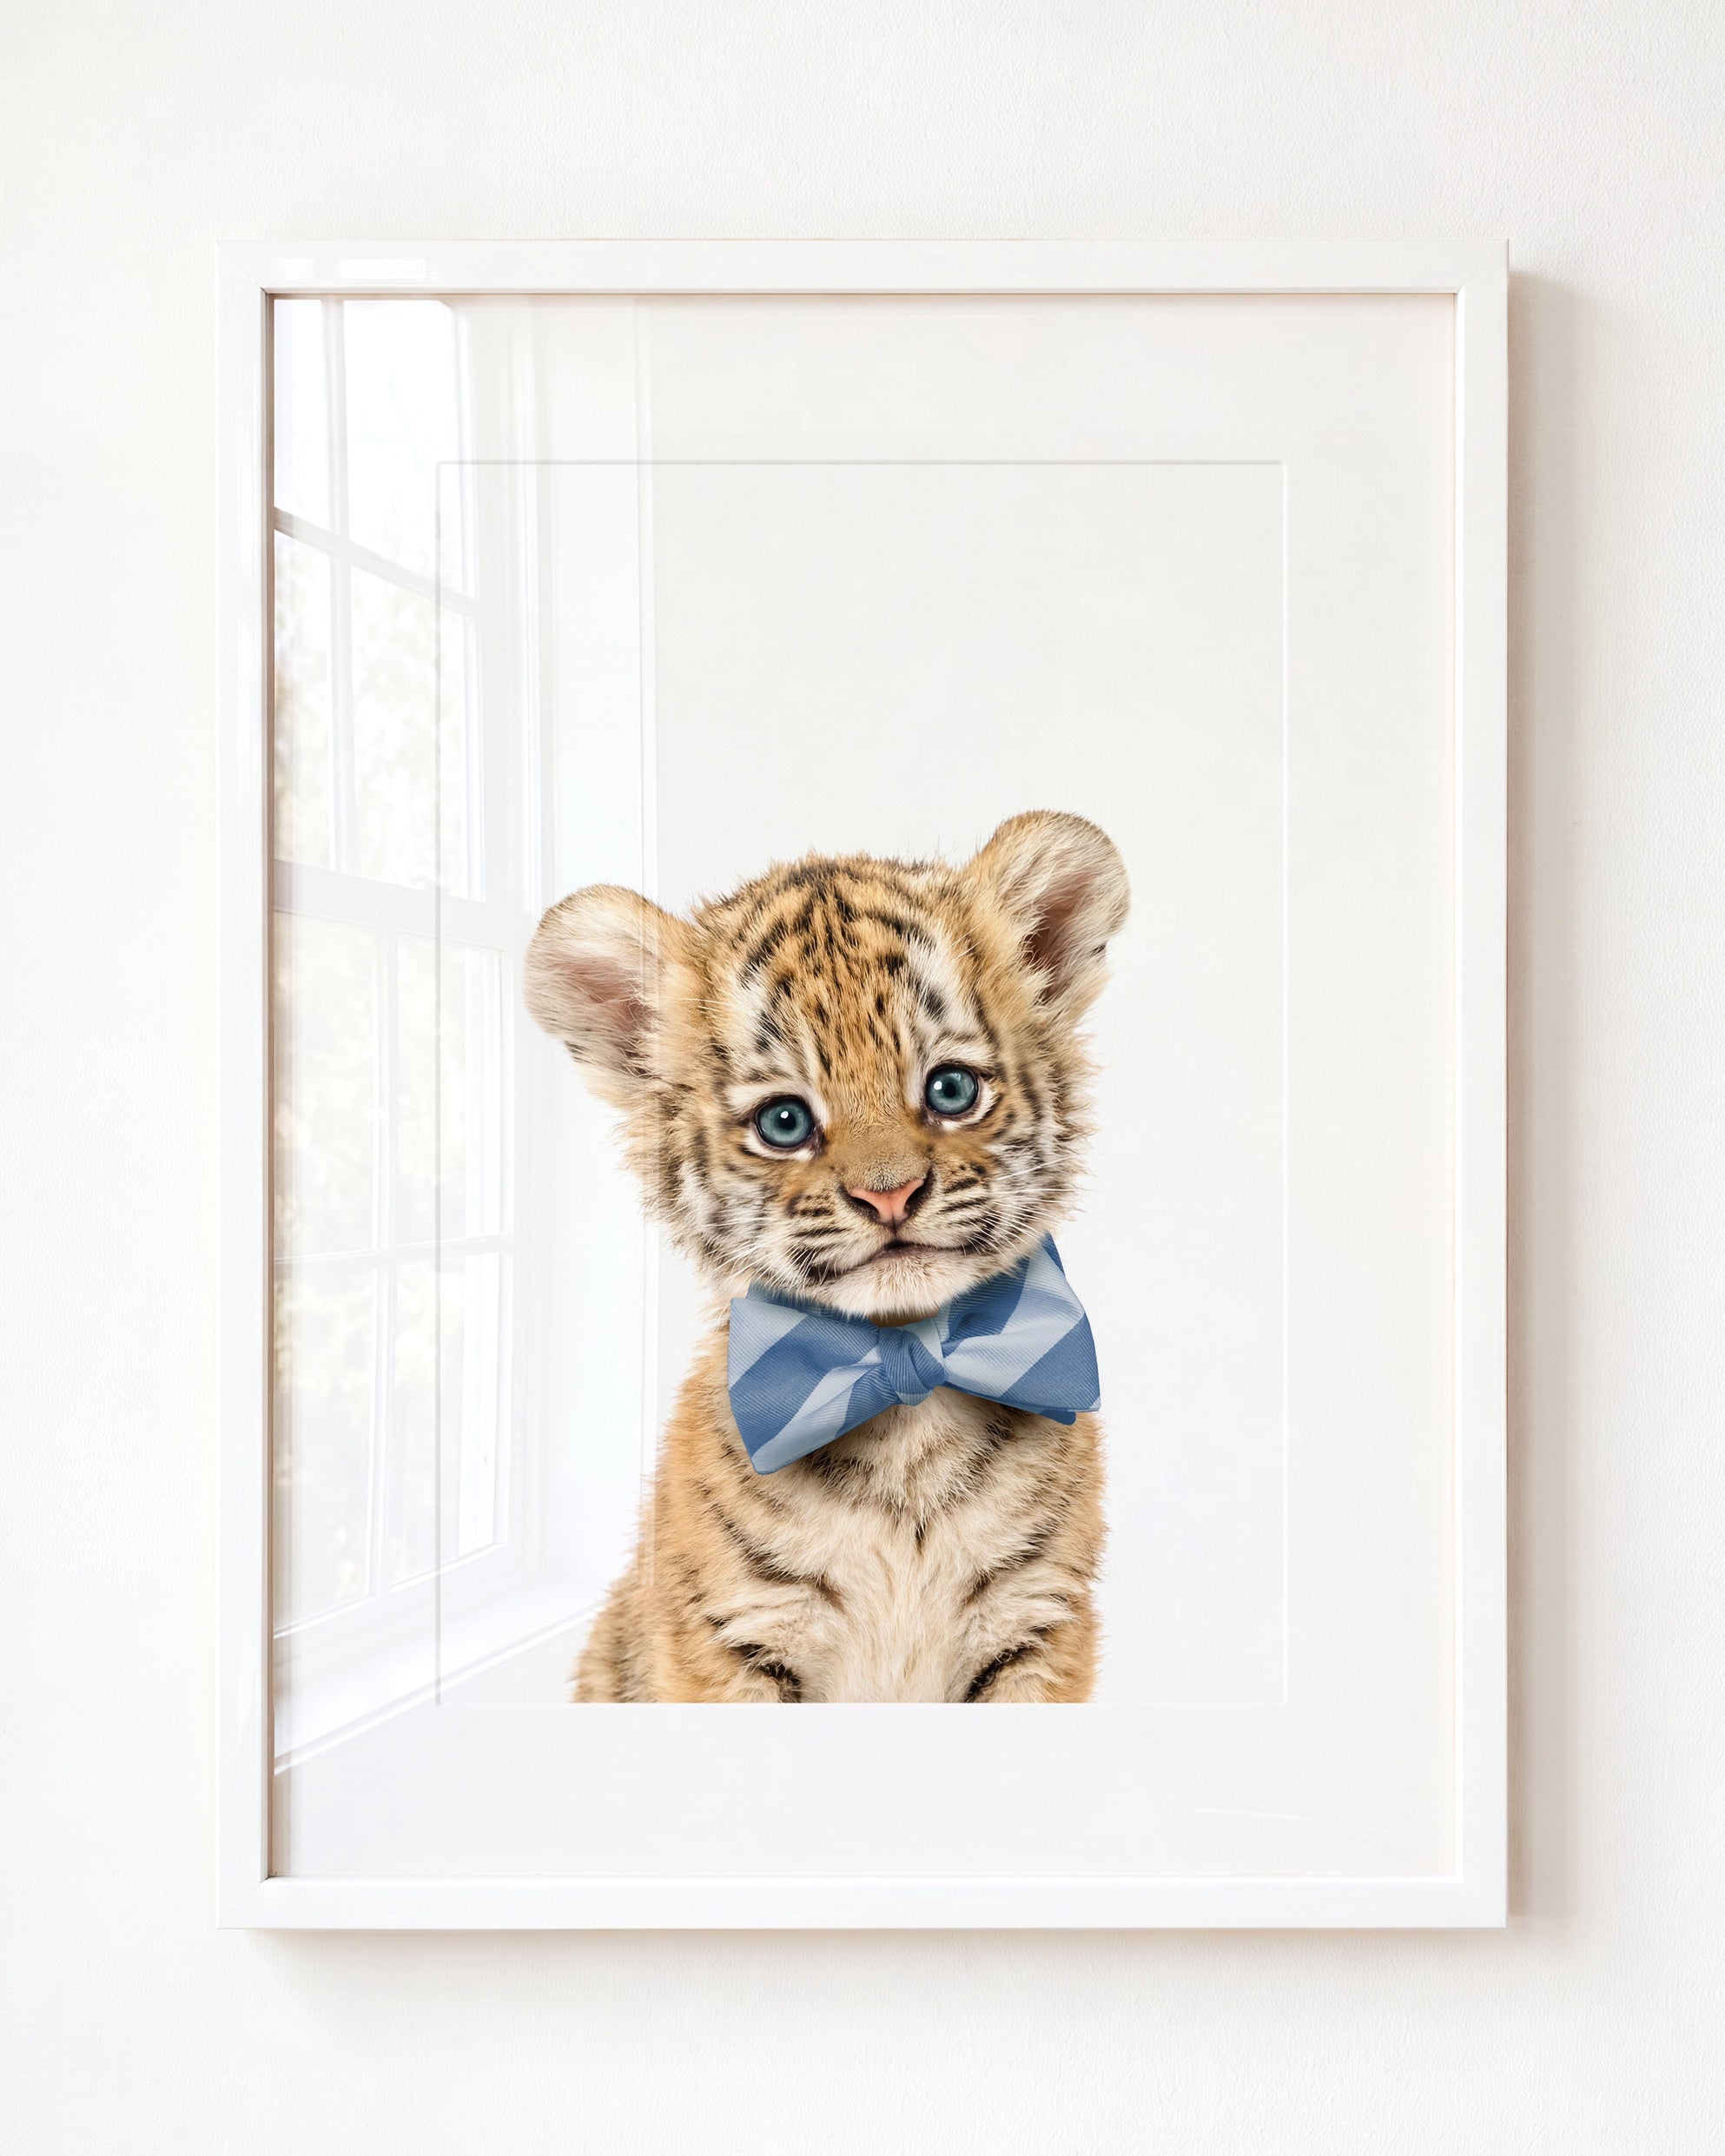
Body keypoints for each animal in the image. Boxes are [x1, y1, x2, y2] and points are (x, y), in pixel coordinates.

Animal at [522, 809, 1129, 1703]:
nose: (890, 1195)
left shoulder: (1037, 1622)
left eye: (951, 1090)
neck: (906, 1396)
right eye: (784, 1122)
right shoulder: (731, 1638)